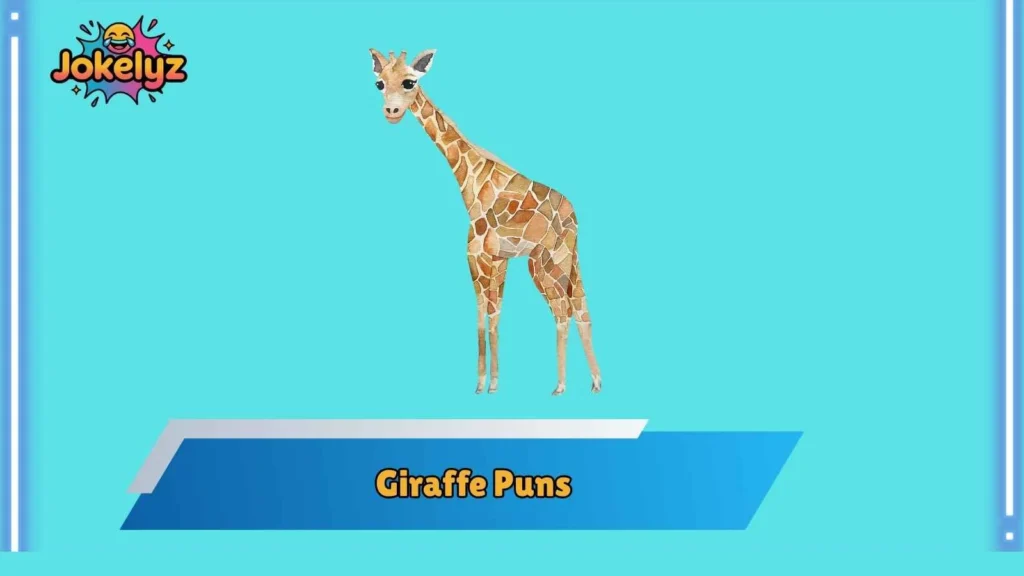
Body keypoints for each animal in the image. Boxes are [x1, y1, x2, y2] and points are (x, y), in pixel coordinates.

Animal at [369, 48, 601, 396]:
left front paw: (485, 385)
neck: (473, 182)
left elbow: (485, 315)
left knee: (563, 311)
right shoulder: (496, 259)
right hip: (556, 260)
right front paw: (490, 384)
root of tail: (574, 216)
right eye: (379, 83)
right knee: (579, 308)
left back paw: (560, 386)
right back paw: (595, 383)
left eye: (410, 82)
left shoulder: (479, 256)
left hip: (549, 260)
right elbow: (491, 316)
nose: (391, 112)